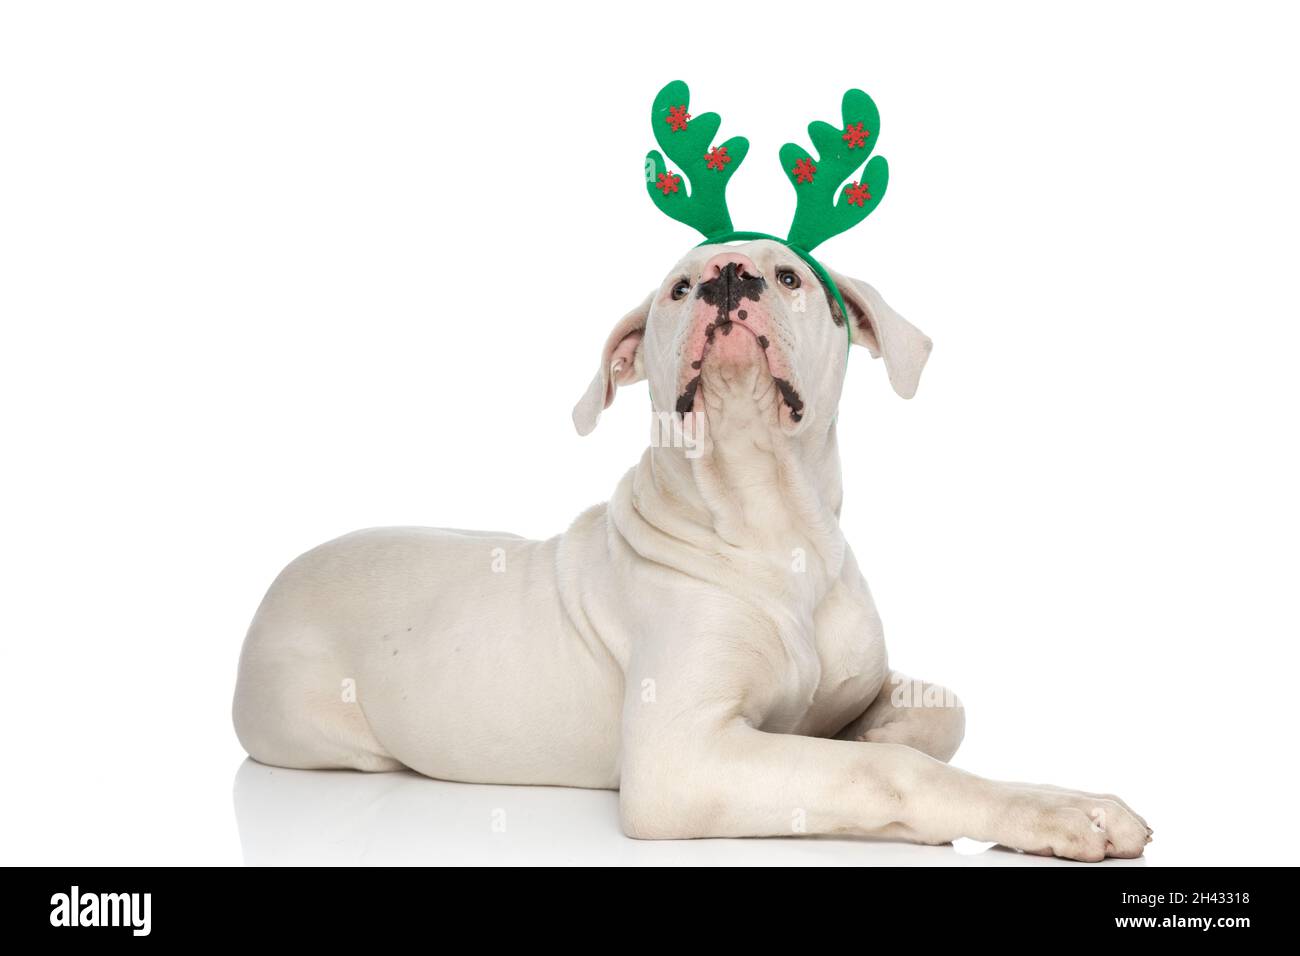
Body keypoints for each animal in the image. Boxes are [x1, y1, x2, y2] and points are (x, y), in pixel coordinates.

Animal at [233, 238, 1149, 858]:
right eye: (678, 288)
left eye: (789, 277)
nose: (727, 276)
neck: (773, 527)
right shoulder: (682, 759)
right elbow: (890, 773)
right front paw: (1057, 809)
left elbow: (939, 714)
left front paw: (866, 733)